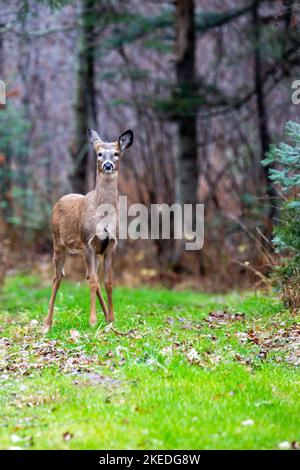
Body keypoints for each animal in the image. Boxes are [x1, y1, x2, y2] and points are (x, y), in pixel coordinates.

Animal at [43, 129, 134, 334]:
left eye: (116, 153)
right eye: (99, 154)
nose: (107, 165)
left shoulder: (111, 244)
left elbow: (108, 282)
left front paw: (111, 320)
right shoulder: (88, 241)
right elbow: (93, 282)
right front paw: (92, 321)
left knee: (89, 276)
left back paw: (105, 316)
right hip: (58, 243)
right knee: (57, 278)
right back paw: (47, 323)